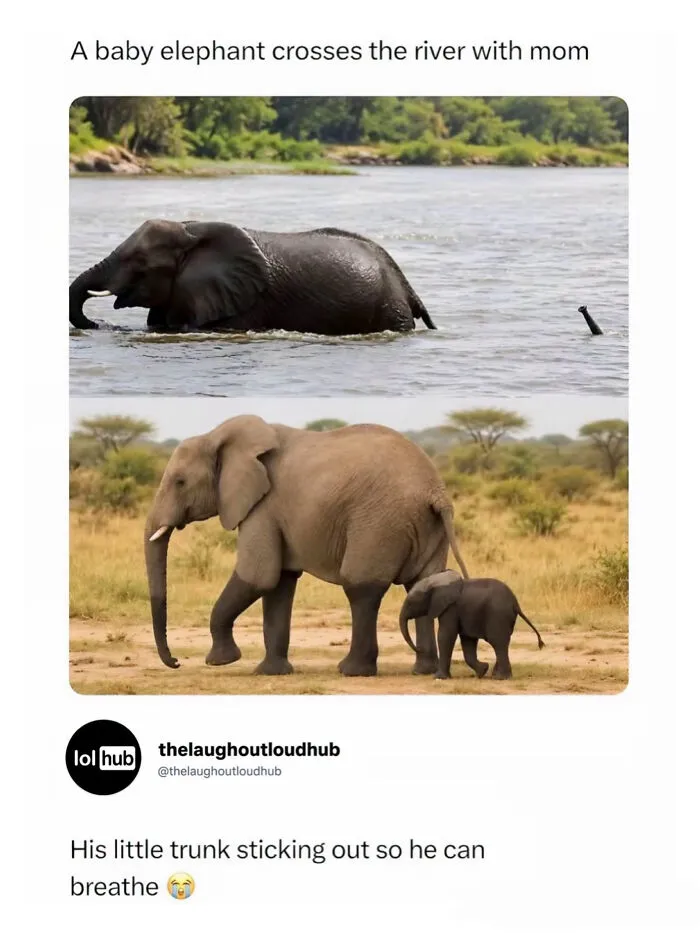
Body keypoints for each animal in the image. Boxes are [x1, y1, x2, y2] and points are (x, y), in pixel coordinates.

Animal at [69, 219, 437, 334]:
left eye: (139, 261)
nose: (99, 325)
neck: (190, 229)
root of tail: (406, 284)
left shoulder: (244, 305)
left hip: (389, 308)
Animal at [145, 416, 469, 676]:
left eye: (180, 482)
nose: (176, 662)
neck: (217, 436)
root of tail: (435, 491)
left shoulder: (263, 506)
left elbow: (258, 576)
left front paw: (221, 661)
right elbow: (279, 584)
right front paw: (271, 672)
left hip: (379, 522)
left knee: (361, 587)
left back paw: (352, 670)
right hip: (425, 525)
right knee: (422, 584)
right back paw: (424, 670)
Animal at [399, 570, 545, 680]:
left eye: (411, 602)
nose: (420, 649)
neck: (436, 581)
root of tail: (515, 603)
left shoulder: (450, 608)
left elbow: (446, 635)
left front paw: (438, 678)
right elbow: (467, 640)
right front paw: (482, 671)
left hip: (498, 615)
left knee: (498, 642)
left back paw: (501, 678)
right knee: (503, 643)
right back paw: (494, 675)